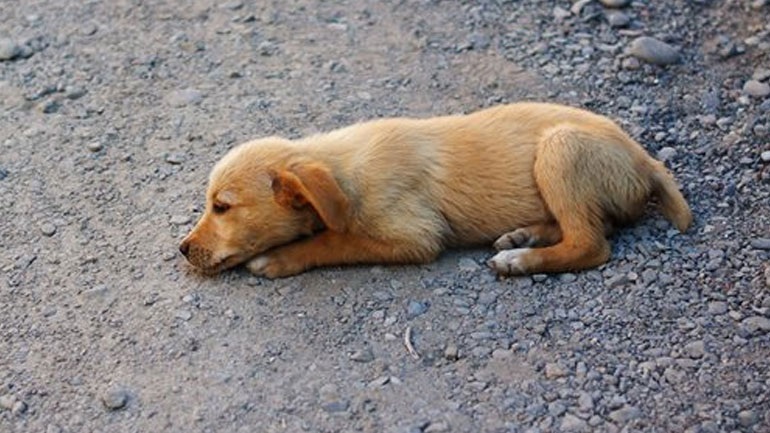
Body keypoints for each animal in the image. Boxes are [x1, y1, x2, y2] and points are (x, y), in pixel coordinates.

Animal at [178, 102, 688, 276]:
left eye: (222, 207)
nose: (181, 250)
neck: (343, 171)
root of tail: (645, 159)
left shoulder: (414, 236)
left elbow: (334, 240)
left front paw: (282, 258)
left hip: (560, 149)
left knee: (591, 242)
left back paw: (521, 260)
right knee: (588, 225)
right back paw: (524, 236)